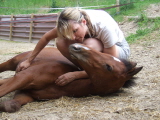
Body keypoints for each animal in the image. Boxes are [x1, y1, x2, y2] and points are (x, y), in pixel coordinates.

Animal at [0, 43, 142, 112]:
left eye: (108, 67)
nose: (76, 47)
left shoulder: (25, 93)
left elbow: (10, 105)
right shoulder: (24, 77)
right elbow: (3, 90)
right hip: (13, 62)